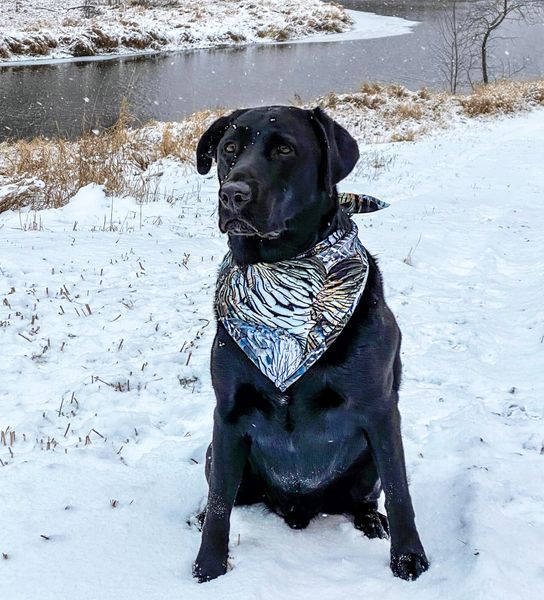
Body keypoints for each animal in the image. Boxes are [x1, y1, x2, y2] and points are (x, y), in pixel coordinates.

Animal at [193, 106, 428, 580]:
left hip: (366, 462)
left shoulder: (380, 410)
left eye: (285, 149)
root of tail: (297, 509)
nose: (233, 194)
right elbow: (220, 503)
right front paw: (208, 566)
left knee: (367, 498)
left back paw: (372, 522)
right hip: (215, 452)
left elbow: (400, 492)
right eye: (229, 149)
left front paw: (408, 557)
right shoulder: (227, 416)